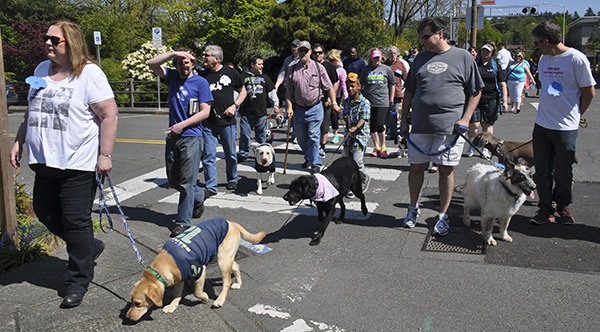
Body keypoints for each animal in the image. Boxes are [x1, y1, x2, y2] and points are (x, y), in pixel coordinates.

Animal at [125, 218, 266, 322]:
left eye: (137, 303)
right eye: (131, 301)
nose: (127, 316)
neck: (164, 265)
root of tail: (231, 223)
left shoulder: (199, 270)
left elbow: (197, 292)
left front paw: (204, 298)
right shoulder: (180, 277)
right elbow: (177, 293)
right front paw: (172, 305)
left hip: (223, 259)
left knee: (227, 282)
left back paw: (219, 300)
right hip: (226, 257)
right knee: (236, 266)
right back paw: (238, 283)